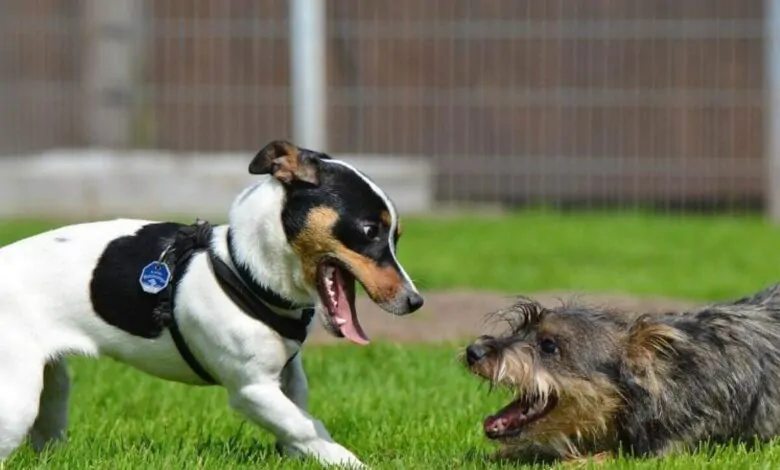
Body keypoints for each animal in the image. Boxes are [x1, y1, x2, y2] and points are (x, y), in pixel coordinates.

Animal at [0, 140, 424, 466]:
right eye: (369, 231)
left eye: (397, 236)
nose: (415, 301)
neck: (243, 268)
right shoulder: (252, 389)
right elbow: (309, 427)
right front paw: (349, 462)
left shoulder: (288, 378)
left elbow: (297, 422)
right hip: (16, 400)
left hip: (52, 388)